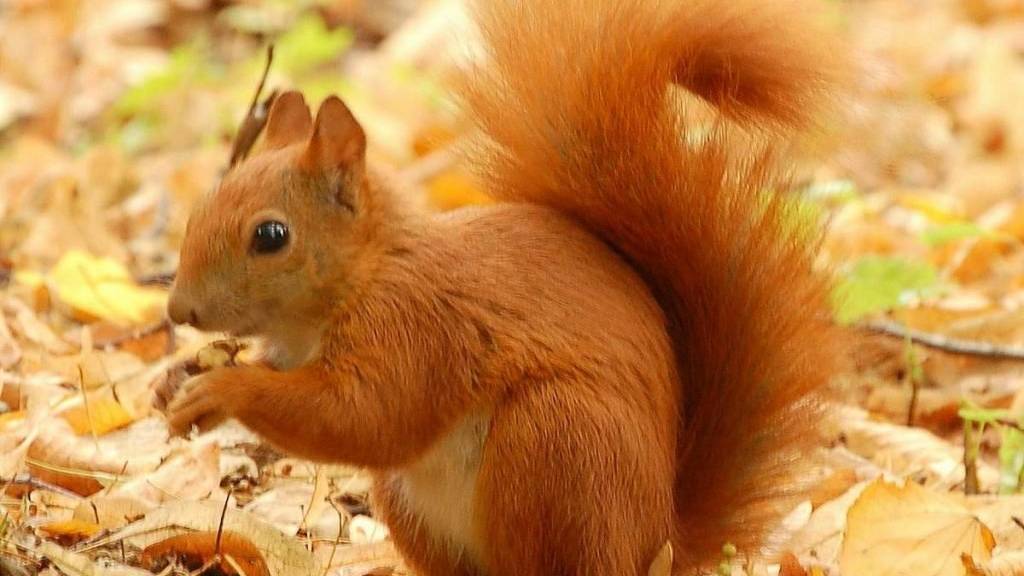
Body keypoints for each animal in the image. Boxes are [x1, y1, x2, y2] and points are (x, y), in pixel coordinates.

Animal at [161, 0, 850, 573]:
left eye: (271, 236)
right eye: (204, 204)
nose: (179, 310)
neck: (362, 276)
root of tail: (661, 543)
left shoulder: (416, 329)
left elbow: (365, 417)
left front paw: (225, 388)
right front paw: (175, 382)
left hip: (554, 450)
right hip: (422, 508)